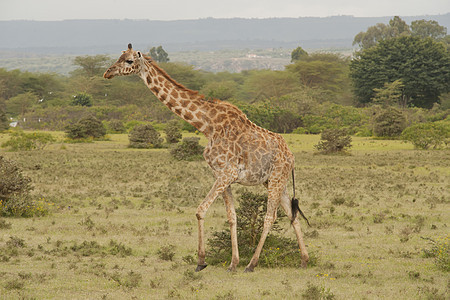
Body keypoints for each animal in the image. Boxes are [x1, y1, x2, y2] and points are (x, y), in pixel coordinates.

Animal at [104, 44, 310, 272]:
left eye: (129, 61)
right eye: (119, 57)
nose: (107, 72)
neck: (207, 126)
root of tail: (291, 156)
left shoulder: (227, 174)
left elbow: (200, 210)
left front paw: (201, 261)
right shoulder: (221, 175)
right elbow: (231, 217)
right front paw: (232, 263)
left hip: (276, 179)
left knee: (270, 217)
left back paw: (252, 264)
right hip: (275, 181)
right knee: (292, 215)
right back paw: (304, 260)